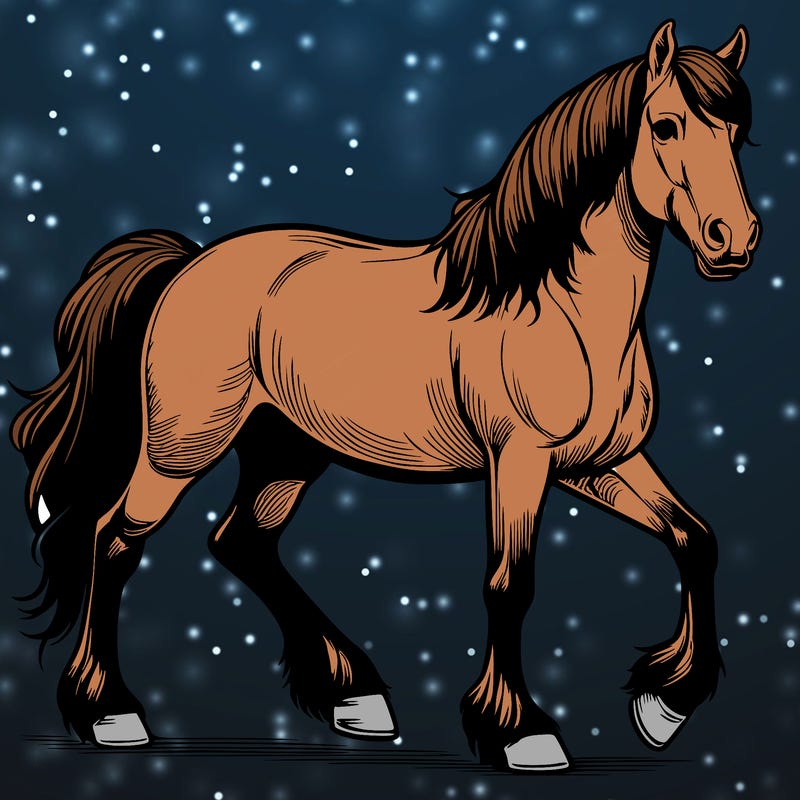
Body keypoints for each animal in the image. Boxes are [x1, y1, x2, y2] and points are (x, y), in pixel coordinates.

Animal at [10, 20, 760, 771]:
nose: (734, 240)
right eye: (665, 125)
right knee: (113, 541)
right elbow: (509, 584)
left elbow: (696, 539)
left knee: (242, 542)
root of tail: (187, 264)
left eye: (737, 131)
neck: (558, 307)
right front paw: (521, 733)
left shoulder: (598, 464)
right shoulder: (520, 462)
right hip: (181, 448)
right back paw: (111, 714)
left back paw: (355, 696)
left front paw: (663, 706)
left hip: (287, 452)